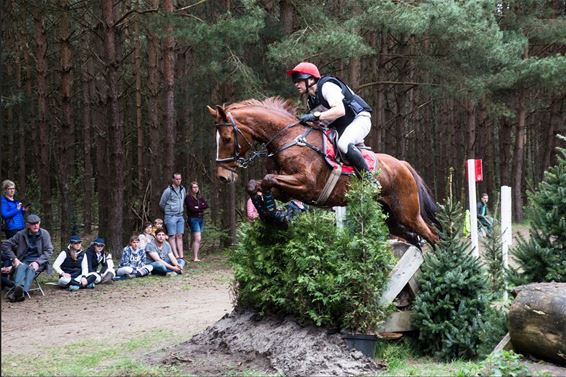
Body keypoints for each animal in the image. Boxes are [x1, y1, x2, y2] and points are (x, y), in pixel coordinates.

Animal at [206, 95, 442, 245]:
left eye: (226, 139)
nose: (222, 176)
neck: (288, 139)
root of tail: (403, 164)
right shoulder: (287, 189)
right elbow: (256, 184)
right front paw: (271, 215)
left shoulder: (306, 184)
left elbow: (267, 179)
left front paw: (273, 216)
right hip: (390, 218)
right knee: (415, 239)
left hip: (407, 213)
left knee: (433, 236)